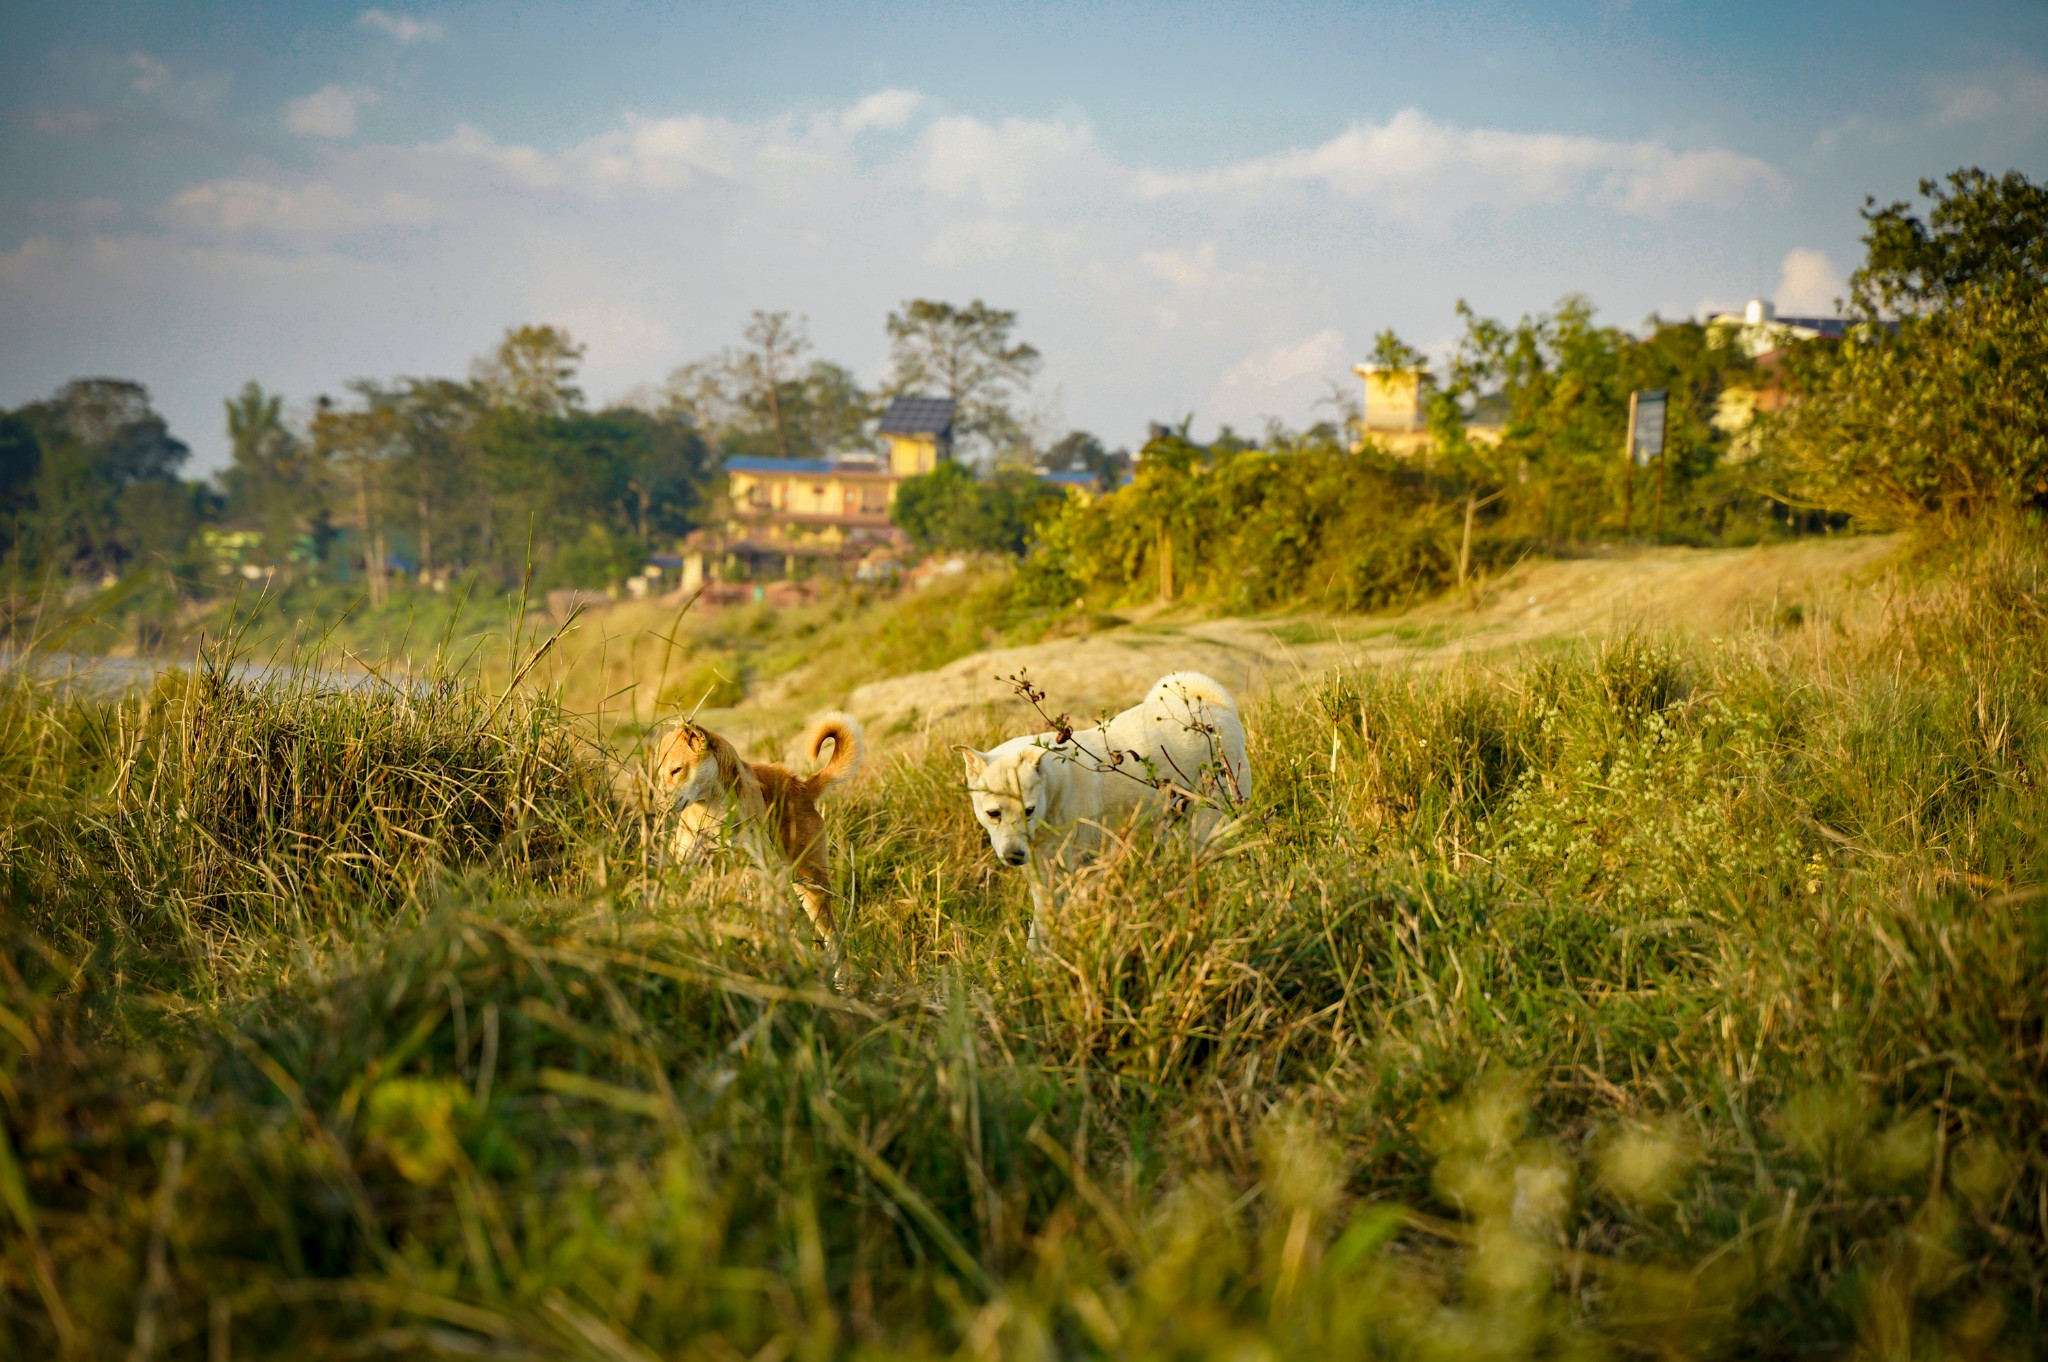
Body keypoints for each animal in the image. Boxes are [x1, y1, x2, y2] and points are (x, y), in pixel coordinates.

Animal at [647, 704, 856, 942]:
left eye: (676, 770)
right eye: (659, 774)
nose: (658, 806)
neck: (712, 813)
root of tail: (802, 786)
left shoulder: (754, 867)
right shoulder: (687, 862)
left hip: (810, 884)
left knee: (833, 937)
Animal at [954, 671, 1245, 913]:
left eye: (1029, 810)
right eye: (993, 813)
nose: (1015, 856)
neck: (1054, 790)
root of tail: (1216, 705)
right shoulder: (1042, 876)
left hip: (1210, 820)